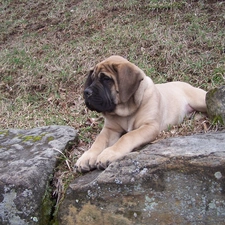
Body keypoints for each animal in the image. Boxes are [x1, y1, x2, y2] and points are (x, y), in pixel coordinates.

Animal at [74, 55, 207, 172]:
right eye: (92, 79)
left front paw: (109, 153)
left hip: (200, 100)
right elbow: (99, 141)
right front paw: (86, 157)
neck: (126, 111)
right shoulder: (110, 129)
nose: (86, 92)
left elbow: (128, 136)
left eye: (106, 79)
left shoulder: (150, 126)